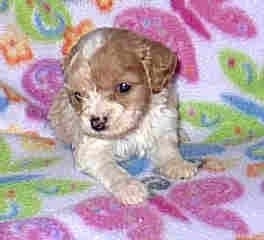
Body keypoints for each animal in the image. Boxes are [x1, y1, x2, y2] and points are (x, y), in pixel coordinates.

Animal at [48, 27, 199, 204]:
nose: (97, 124)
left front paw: (178, 165)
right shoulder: (92, 150)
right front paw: (129, 187)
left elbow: (168, 149)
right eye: (78, 95)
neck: (134, 127)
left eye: (124, 87)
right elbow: (111, 169)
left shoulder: (162, 126)